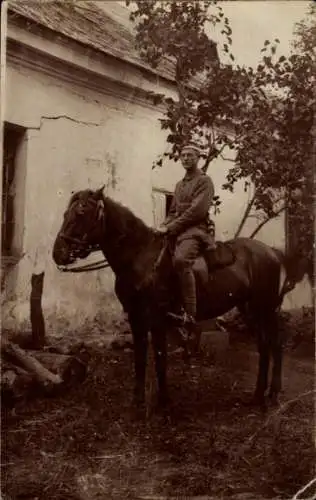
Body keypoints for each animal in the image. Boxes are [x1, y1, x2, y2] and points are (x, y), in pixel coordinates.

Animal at [53, 188, 290, 410]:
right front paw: (138, 401)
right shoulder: (135, 318)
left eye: (81, 211)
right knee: (265, 346)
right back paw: (260, 395)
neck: (141, 258)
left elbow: (160, 356)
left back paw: (270, 394)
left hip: (265, 309)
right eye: (65, 213)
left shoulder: (157, 318)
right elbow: (140, 358)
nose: (58, 253)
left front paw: (164, 401)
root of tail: (272, 252)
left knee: (275, 345)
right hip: (249, 310)